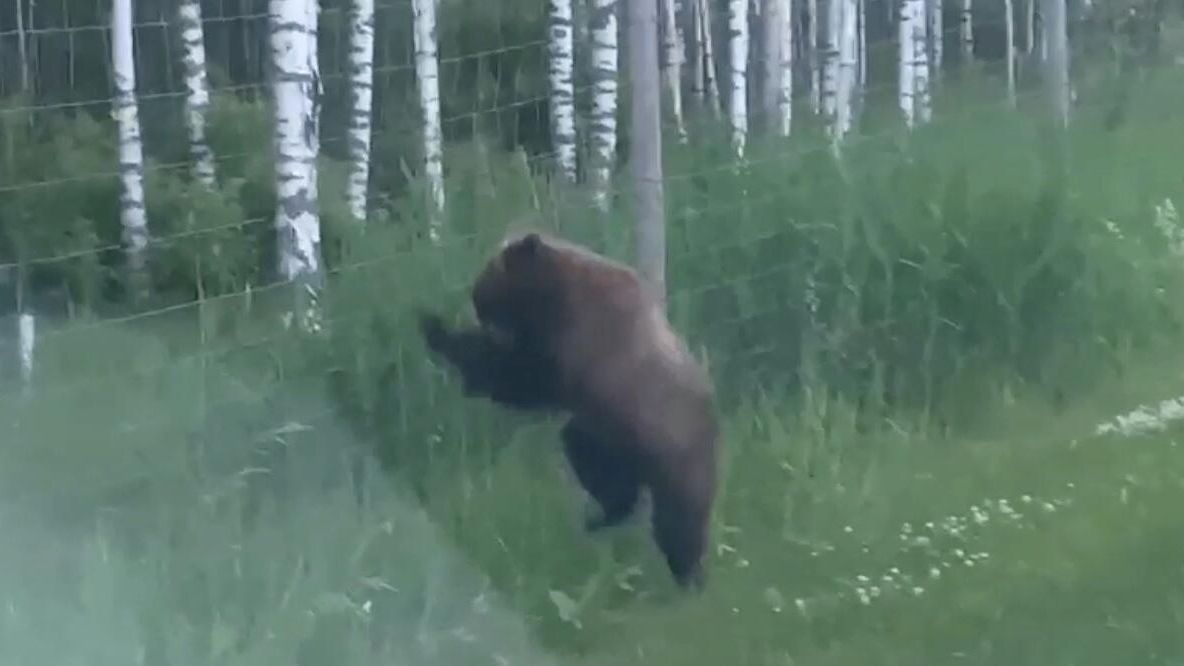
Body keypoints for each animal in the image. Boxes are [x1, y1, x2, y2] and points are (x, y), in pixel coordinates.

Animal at [418, 230, 720, 590]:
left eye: (486, 281)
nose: (476, 302)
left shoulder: (581, 343)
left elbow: (522, 376)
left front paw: (437, 331)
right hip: (620, 443)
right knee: (603, 469)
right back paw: (604, 520)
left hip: (667, 452)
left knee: (674, 519)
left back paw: (684, 573)